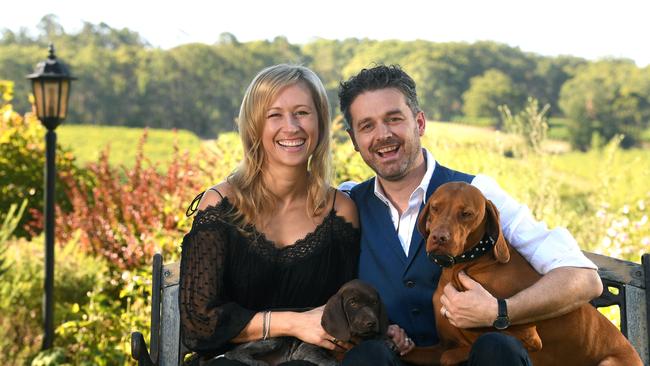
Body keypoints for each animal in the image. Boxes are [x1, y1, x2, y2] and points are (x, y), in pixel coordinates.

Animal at [416, 182, 636, 366]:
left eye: (467, 213)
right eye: (435, 207)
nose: (439, 237)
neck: (465, 266)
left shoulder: (529, 337)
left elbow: (453, 353)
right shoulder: (441, 344)